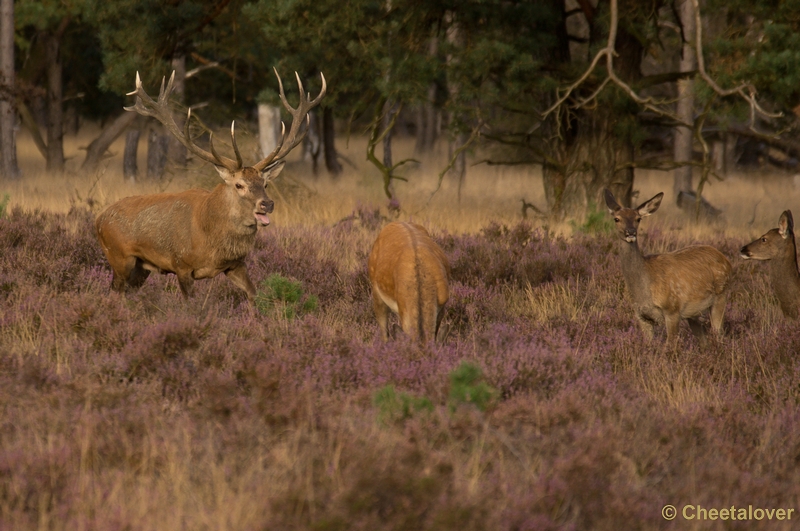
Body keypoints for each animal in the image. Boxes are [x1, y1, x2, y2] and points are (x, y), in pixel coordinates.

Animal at [97, 70, 324, 302]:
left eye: (266, 183)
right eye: (239, 185)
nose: (267, 204)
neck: (209, 239)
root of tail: (99, 219)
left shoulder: (236, 264)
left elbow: (254, 294)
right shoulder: (181, 264)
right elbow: (191, 304)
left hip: (141, 267)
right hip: (119, 257)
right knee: (114, 292)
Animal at [608, 190, 732, 344]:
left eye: (638, 219)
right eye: (617, 219)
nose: (630, 232)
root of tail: (726, 260)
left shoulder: (672, 309)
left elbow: (671, 344)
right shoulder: (641, 316)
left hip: (721, 294)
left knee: (719, 334)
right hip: (693, 314)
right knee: (704, 341)